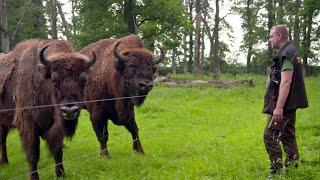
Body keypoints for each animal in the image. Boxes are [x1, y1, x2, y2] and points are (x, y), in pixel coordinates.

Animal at [11, 39, 96, 180]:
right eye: (54, 80)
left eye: (84, 80)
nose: (69, 111)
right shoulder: (28, 124)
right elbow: (33, 154)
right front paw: (34, 177)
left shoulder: (57, 126)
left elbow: (57, 149)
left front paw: (60, 173)